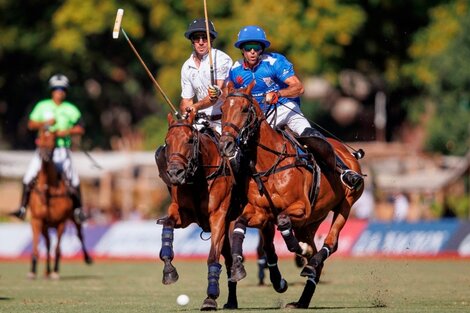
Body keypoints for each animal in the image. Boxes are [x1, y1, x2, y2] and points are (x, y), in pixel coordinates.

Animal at [28, 128, 92, 280]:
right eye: (40, 139)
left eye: (53, 141)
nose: (45, 156)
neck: (48, 190)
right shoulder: (36, 220)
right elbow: (36, 247)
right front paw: (33, 271)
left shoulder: (61, 222)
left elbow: (58, 249)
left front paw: (56, 271)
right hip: (45, 226)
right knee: (47, 244)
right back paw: (46, 271)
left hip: (74, 219)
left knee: (79, 235)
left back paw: (87, 258)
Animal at [156, 110, 241, 310]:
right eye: (167, 141)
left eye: (189, 140)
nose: (175, 174)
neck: (198, 177)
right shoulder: (182, 213)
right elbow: (167, 226)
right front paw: (169, 271)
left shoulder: (218, 216)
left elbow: (212, 257)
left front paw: (210, 297)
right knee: (228, 260)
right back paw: (231, 301)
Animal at [218, 81, 366, 308]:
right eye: (223, 109)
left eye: (244, 109)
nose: (226, 145)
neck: (268, 163)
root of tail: (346, 152)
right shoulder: (260, 212)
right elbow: (240, 225)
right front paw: (238, 267)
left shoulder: (300, 208)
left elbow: (282, 219)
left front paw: (299, 250)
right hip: (311, 221)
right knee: (316, 254)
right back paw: (302, 299)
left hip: (345, 205)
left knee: (331, 243)